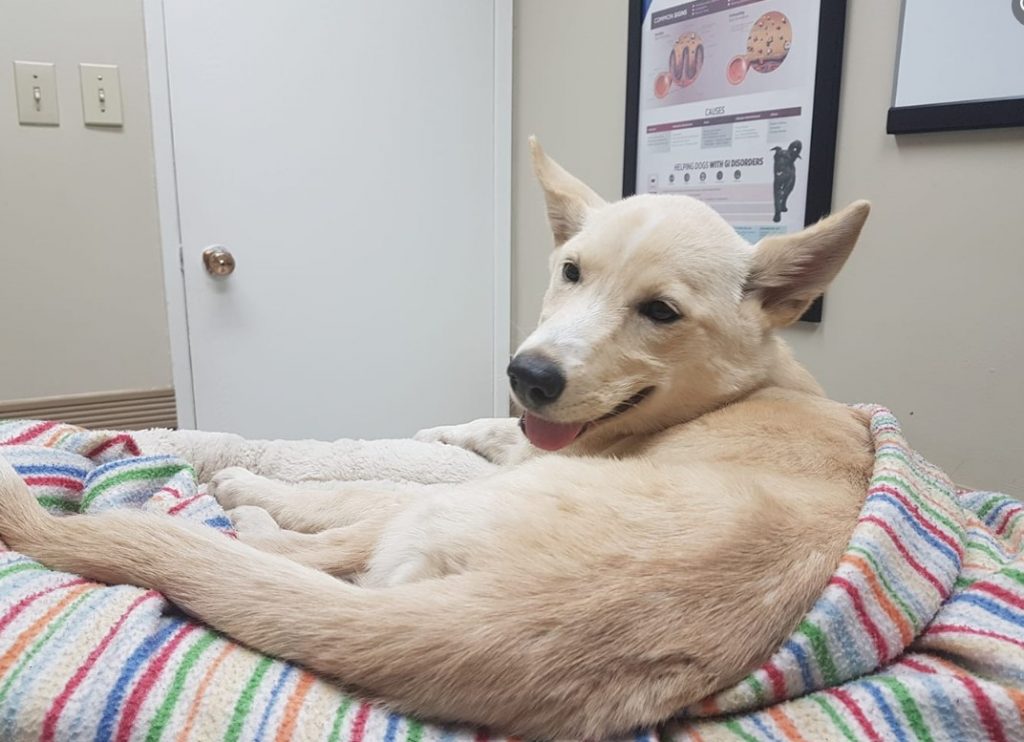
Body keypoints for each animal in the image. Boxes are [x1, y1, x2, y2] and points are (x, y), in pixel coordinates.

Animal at [0, 137, 872, 736]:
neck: (743, 387)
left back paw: (247, 506)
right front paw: (454, 424)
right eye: (571, 270)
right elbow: (489, 429)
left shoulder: (507, 467)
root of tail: (499, 626)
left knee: (317, 537)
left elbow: (353, 490)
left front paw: (257, 484)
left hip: (420, 522)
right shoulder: (527, 435)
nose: (530, 374)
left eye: (660, 311)